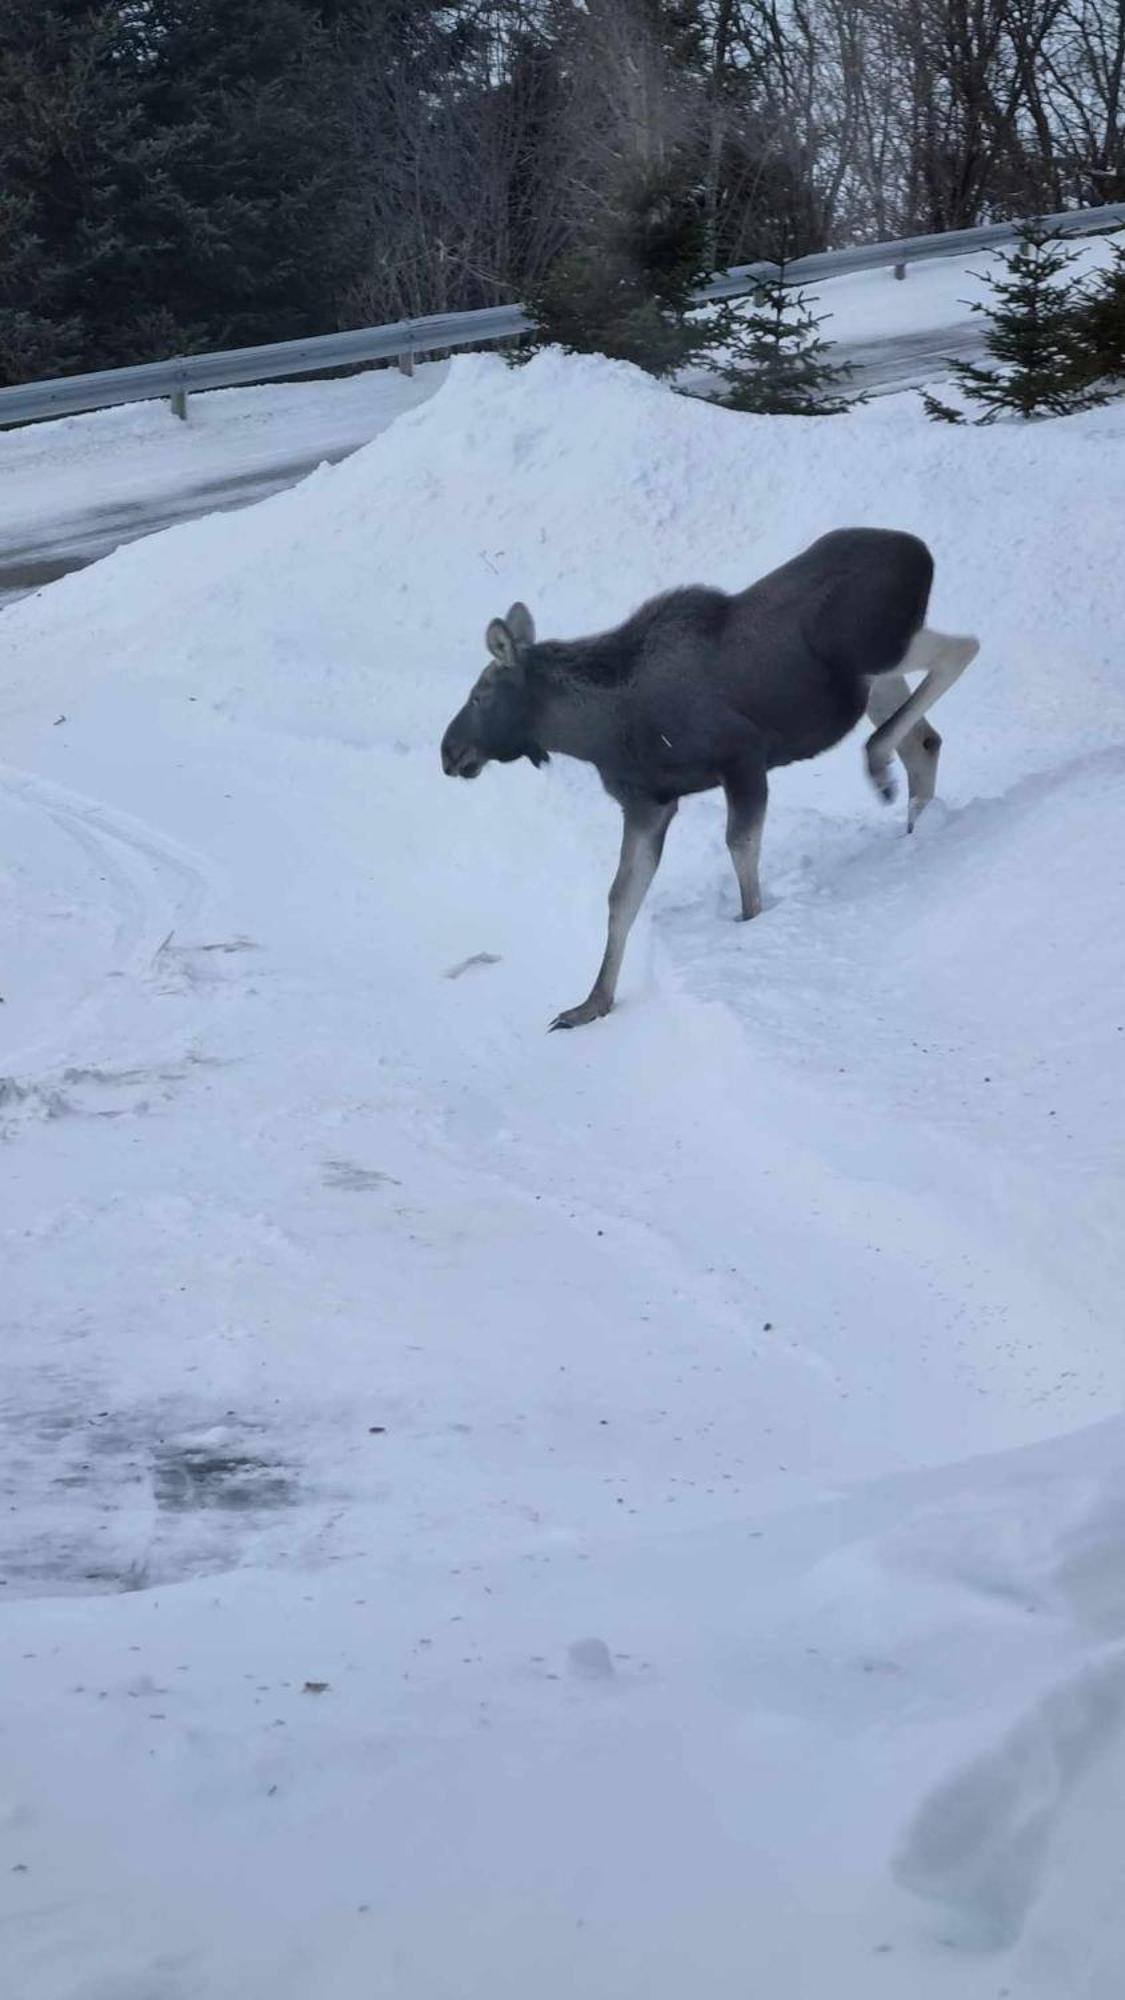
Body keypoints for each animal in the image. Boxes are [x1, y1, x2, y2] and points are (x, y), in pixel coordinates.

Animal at [438, 532, 972, 1032]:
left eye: (480, 694)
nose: (449, 752)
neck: (601, 731)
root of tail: (920, 550)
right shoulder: (648, 803)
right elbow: (621, 897)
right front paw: (590, 1004)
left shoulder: (742, 758)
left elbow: (740, 846)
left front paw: (750, 922)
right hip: (875, 674)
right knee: (924, 742)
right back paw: (913, 820)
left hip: (875, 647)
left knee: (962, 649)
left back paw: (878, 761)